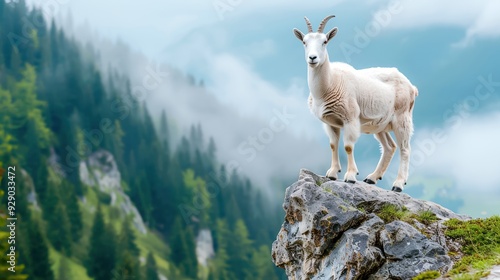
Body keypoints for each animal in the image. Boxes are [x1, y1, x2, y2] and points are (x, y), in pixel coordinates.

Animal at [292, 15, 418, 192]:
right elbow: (333, 145)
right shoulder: (330, 123)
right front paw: (332, 173)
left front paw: (350, 176)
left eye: (325, 41)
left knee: (405, 149)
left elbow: (348, 147)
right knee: (389, 147)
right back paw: (372, 178)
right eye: (304, 42)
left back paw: (398, 184)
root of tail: (411, 87)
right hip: (380, 124)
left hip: (402, 117)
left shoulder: (350, 118)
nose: (312, 58)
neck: (331, 83)